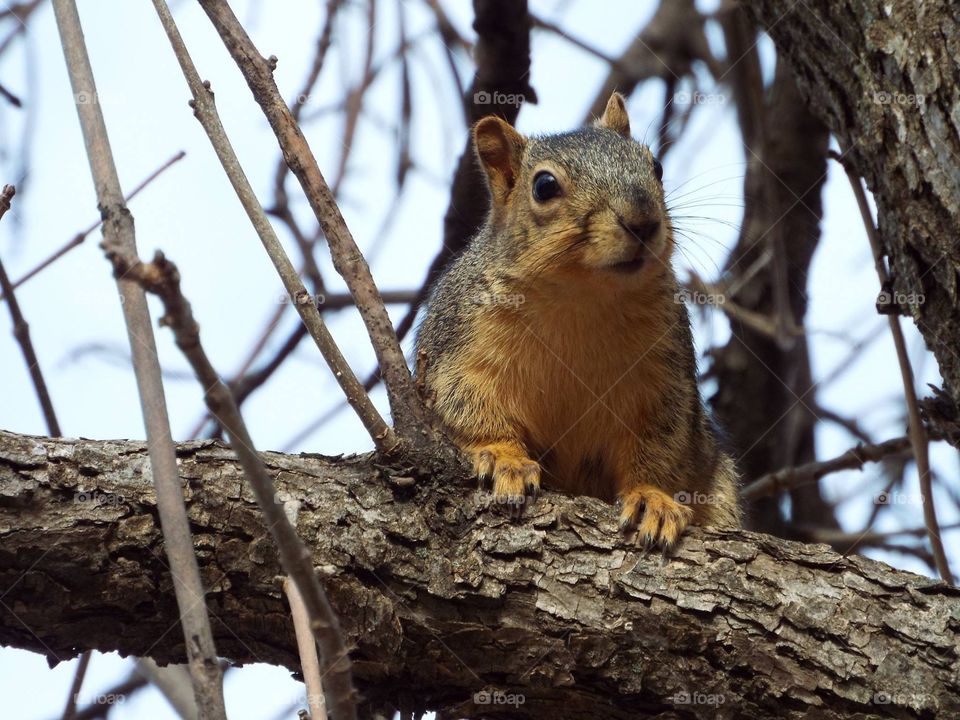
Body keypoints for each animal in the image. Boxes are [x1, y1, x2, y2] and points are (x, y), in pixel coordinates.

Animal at [415, 92, 741, 547]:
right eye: (544, 186)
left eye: (656, 166)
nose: (643, 220)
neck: (582, 297)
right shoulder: (461, 348)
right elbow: (465, 405)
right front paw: (503, 456)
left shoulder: (663, 379)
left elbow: (659, 446)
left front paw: (651, 498)